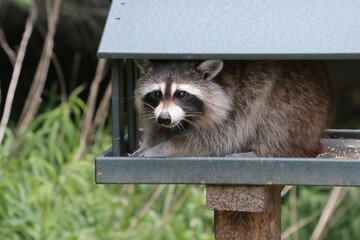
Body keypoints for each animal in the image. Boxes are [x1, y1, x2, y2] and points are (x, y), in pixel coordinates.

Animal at [132, 59, 334, 158]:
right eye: (156, 94)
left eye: (181, 94)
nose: (165, 119)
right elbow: (160, 128)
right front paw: (151, 142)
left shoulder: (241, 102)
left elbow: (215, 138)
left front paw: (164, 147)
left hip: (296, 99)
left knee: (277, 124)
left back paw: (259, 153)